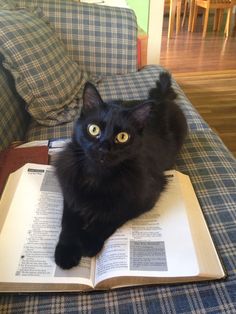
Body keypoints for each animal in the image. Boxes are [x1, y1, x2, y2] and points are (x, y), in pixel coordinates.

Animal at [54, 72, 187, 270]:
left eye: (122, 137)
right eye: (94, 129)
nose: (103, 148)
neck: (97, 175)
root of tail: (160, 99)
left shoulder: (143, 197)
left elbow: (111, 217)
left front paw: (89, 241)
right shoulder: (71, 193)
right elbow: (69, 222)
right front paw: (66, 251)